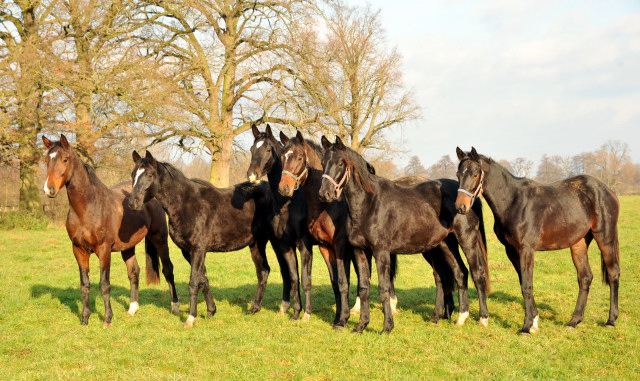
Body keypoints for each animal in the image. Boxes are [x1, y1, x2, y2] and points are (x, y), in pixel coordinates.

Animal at [41, 134, 178, 326]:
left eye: (65, 159)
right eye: (47, 160)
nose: (49, 189)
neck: (88, 208)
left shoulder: (104, 250)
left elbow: (104, 285)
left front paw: (107, 319)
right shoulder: (78, 250)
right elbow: (85, 285)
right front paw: (85, 318)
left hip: (160, 239)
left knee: (168, 269)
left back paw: (175, 307)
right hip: (128, 247)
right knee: (134, 272)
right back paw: (132, 309)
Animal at [129, 150, 302, 326]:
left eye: (150, 175)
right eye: (133, 174)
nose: (132, 203)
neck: (186, 204)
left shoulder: (198, 250)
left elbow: (194, 282)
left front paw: (191, 318)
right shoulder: (188, 251)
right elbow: (203, 279)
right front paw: (211, 311)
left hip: (278, 242)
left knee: (285, 272)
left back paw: (285, 308)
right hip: (256, 243)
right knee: (264, 271)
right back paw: (254, 309)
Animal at [246, 124, 314, 318]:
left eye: (268, 149)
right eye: (252, 149)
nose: (252, 175)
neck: (289, 204)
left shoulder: (304, 244)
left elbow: (305, 278)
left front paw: (306, 313)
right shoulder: (283, 243)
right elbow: (292, 276)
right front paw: (295, 310)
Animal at [318, 136, 488, 332]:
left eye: (340, 163)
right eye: (323, 162)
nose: (324, 194)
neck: (368, 204)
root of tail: (469, 199)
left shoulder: (381, 252)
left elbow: (383, 289)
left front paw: (387, 327)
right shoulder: (359, 251)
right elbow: (364, 288)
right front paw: (361, 326)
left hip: (467, 240)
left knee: (477, 274)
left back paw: (483, 318)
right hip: (446, 244)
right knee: (460, 273)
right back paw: (460, 317)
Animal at [452, 146, 624, 332]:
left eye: (475, 174)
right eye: (458, 174)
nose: (461, 207)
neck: (513, 201)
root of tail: (607, 190)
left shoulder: (526, 249)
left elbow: (527, 285)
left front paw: (526, 326)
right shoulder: (511, 250)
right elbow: (523, 282)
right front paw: (534, 321)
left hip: (605, 237)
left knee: (613, 272)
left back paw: (611, 320)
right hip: (579, 243)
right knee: (585, 277)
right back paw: (574, 321)